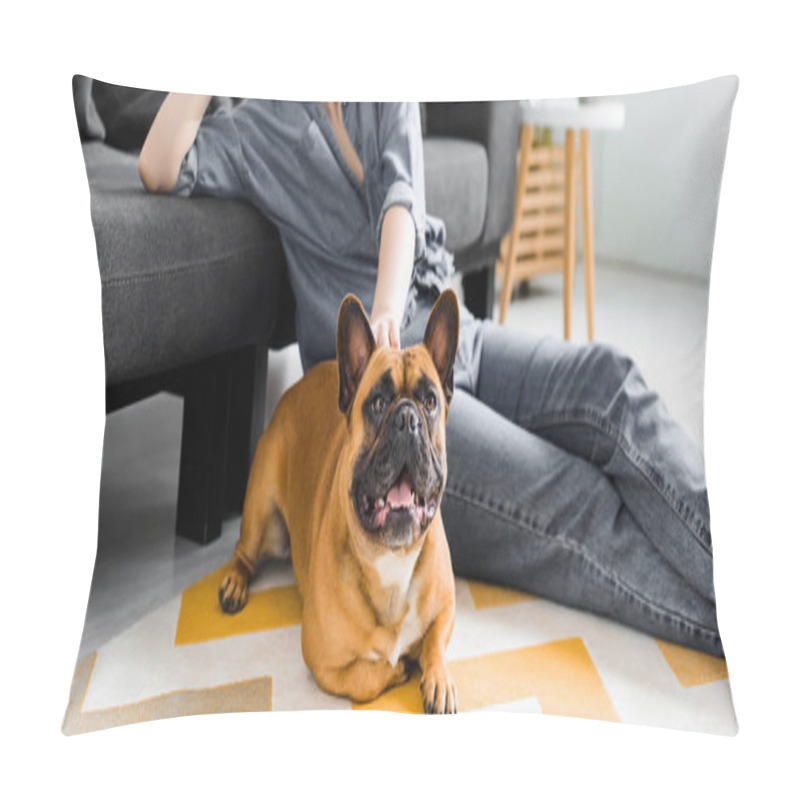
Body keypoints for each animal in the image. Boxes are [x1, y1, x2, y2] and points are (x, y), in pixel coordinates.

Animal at [219, 290, 460, 712]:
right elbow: (366, 678)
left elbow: (434, 642)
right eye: (377, 403)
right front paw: (400, 668)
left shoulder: (447, 607)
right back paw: (234, 582)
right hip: (261, 511)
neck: (391, 559)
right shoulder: (322, 662)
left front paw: (438, 677)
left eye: (431, 402)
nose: (408, 418)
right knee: (243, 551)